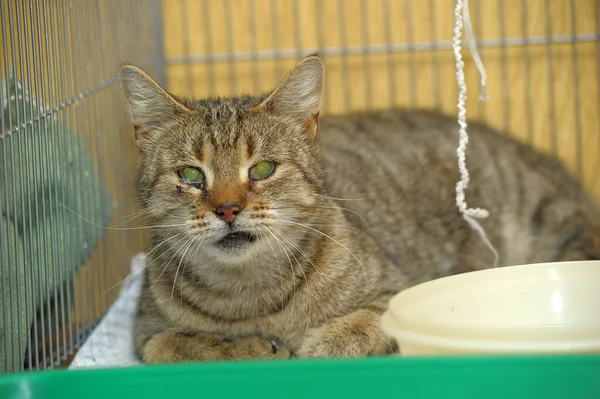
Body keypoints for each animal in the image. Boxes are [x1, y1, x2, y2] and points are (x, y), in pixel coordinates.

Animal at [119, 54, 600, 364]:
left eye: (263, 168)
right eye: (191, 175)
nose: (228, 209)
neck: (250, 296)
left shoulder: (394, 293)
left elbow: (354, 331)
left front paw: (304, 347)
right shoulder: (144, 330)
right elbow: (172, 345)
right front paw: (247, 348)